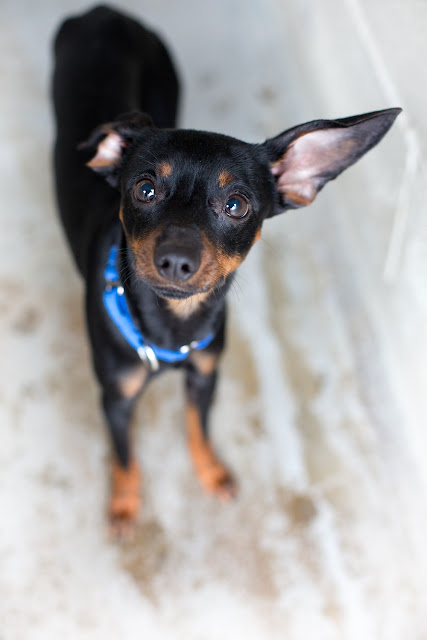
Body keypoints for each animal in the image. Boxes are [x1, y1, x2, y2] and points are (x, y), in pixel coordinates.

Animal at [52, 5, 400, 537]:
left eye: (237, 205)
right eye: (144, 189)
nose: (176, 260)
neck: (174, 325)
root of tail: (103, 11)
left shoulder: (205, 376)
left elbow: (199, 427)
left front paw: (211, 471)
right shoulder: (115, 398)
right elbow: (125, 455)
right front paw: (125, 505)